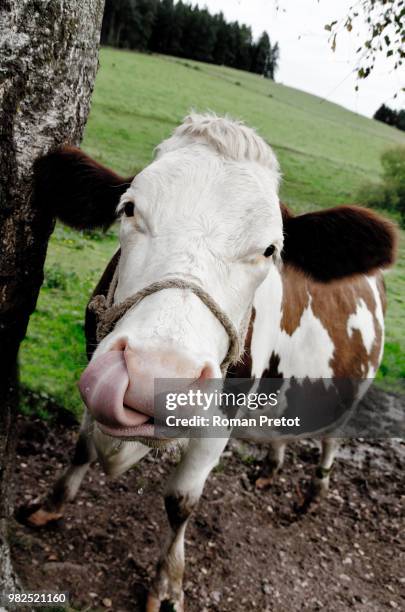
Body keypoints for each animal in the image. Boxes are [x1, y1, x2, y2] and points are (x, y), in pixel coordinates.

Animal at [26, 113, 396, 608]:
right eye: (129, 209)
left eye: (270, 250)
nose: (152, 377)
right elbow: (82, 446)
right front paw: (49, 506)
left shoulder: (217, 422)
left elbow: (180, 500)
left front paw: (167, 583)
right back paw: (270, 469)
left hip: (353, 387)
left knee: (332, 439)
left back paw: (313, 494)